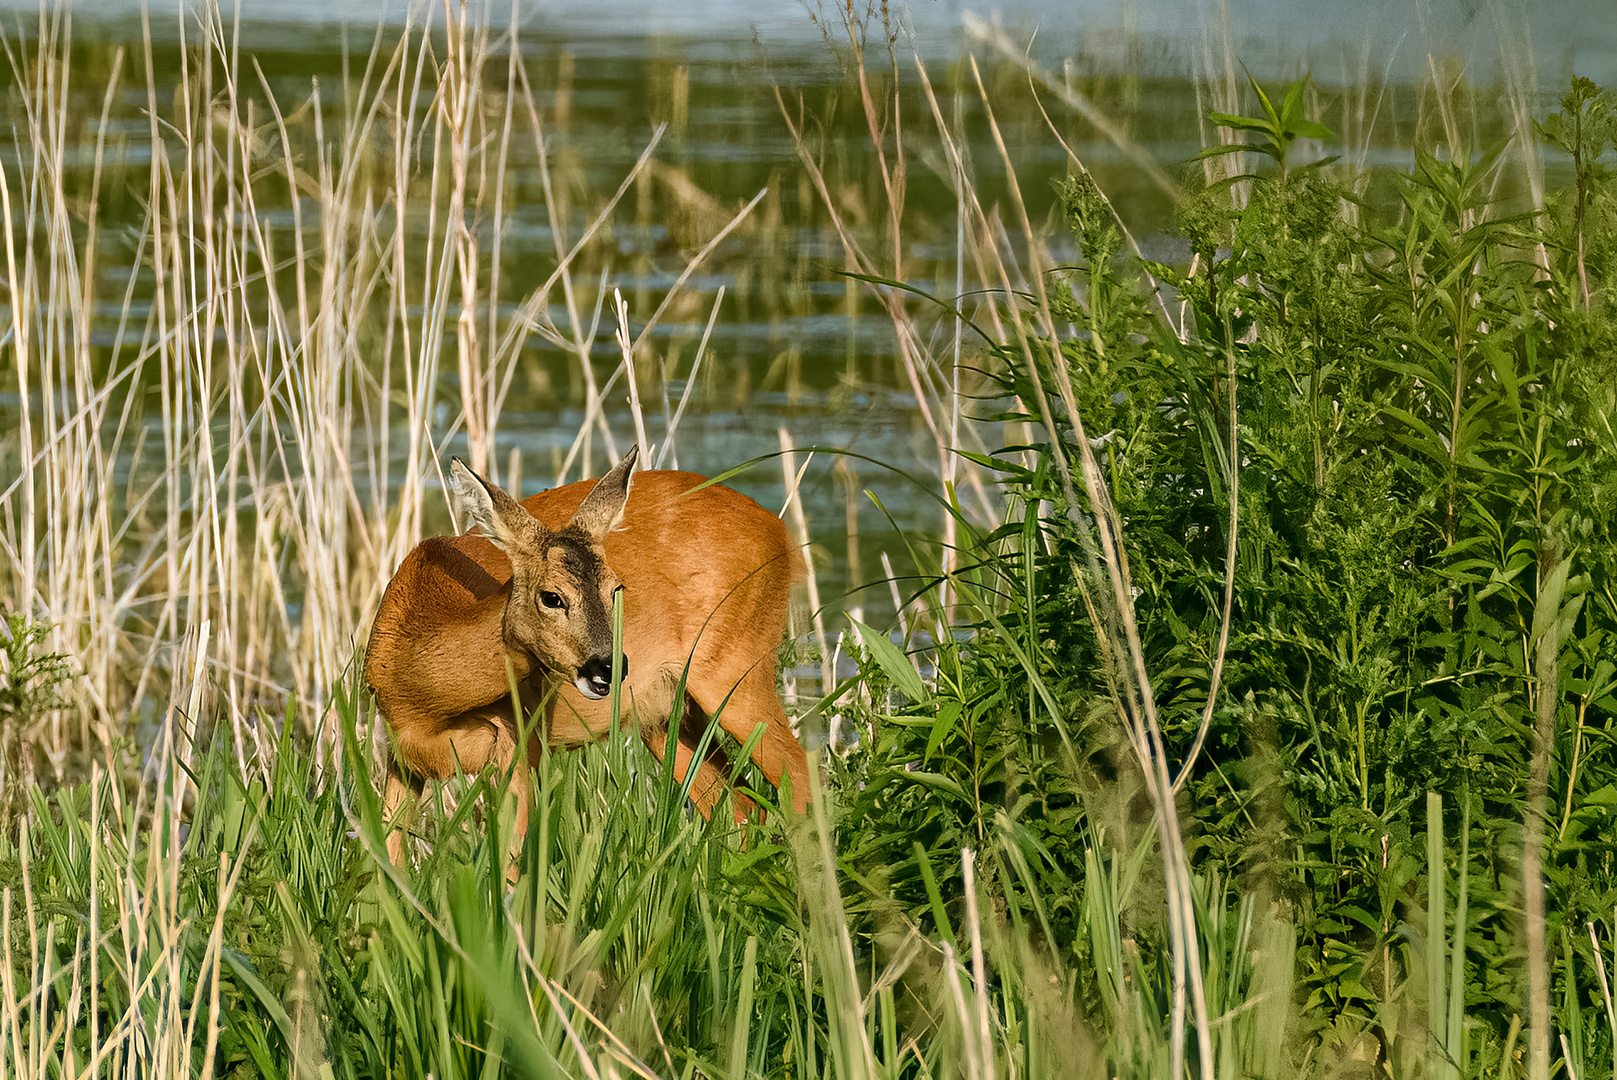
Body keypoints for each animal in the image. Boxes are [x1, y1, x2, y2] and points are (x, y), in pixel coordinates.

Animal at [368, 446, 814, 866]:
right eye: (552, 596)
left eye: (616, 588)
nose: (608, 667)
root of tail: (782, 536)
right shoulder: (397, 751)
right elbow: (386, 857)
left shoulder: (520, 740)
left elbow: (515, 861)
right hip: (666, 715)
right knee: (743, 807)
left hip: (737, 666)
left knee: (802, 781)